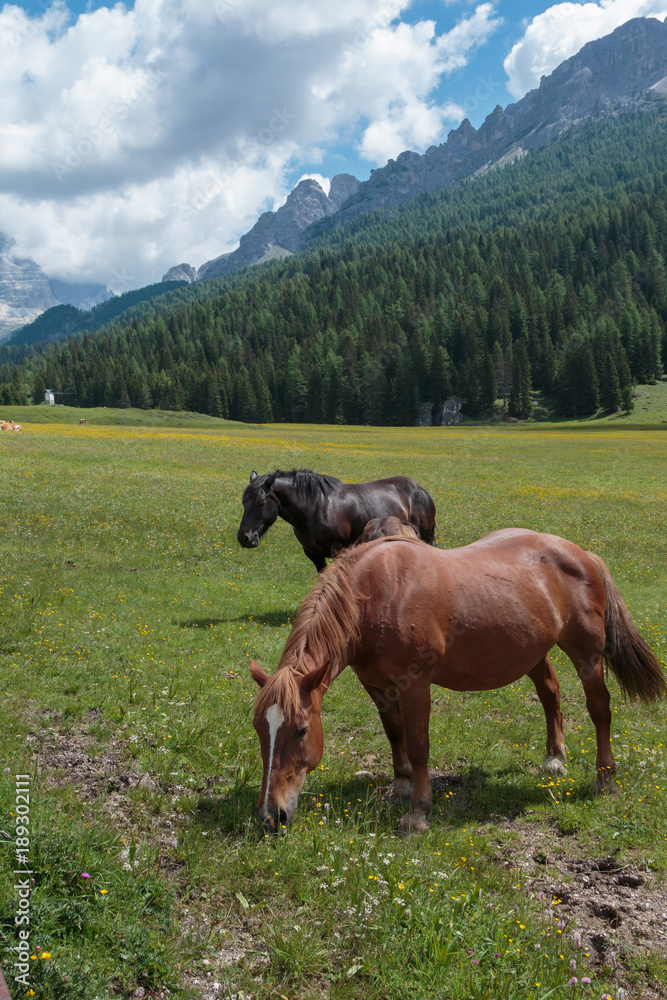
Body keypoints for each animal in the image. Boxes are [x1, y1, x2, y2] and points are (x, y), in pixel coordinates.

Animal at [237, 468, 436, 572]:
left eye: (262, 502)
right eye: (244, 502)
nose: (244, 538)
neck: (314, 508)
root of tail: (421, 490)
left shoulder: (339, 549)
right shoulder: (312, 553)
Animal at [249, 532, 664, 836]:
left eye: (302, 730)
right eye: (259, 730)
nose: (271, 816)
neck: (377, 594)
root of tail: (582, 554)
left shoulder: (414, 685)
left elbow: (418, 745)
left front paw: (418, 812)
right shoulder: (376, 685)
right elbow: (395, 734)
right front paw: (400, 786)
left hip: (587, 654)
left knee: (600, 708)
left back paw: (605, 779)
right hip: (533, 652)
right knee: (550, 693)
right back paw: (555, 757)